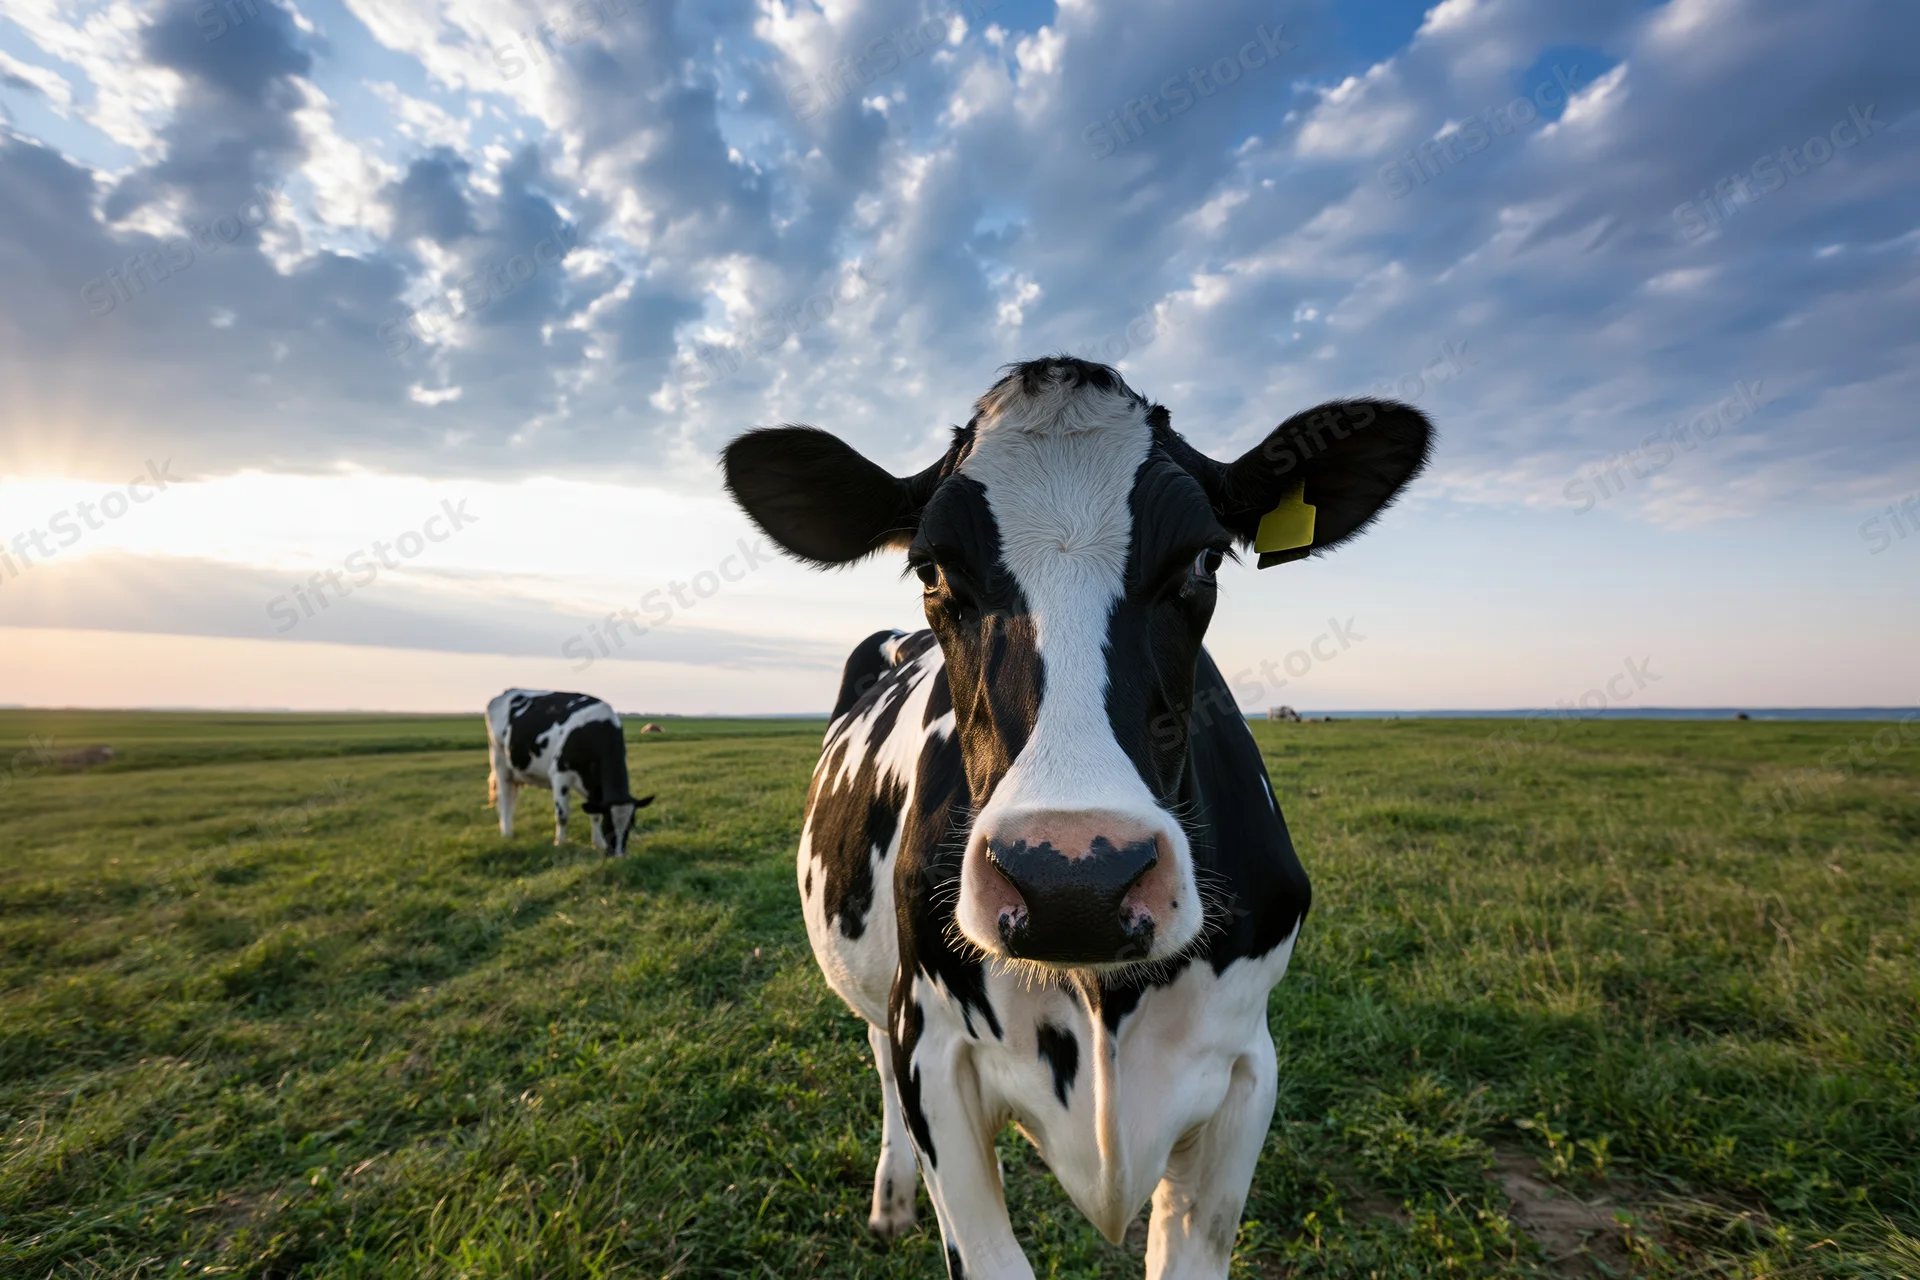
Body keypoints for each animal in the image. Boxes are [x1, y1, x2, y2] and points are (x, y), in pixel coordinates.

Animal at [485, 689, 653, 856]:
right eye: (608, 824)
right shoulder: (560, 774)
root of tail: (507, 692)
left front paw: (598, 843)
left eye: (631, 825)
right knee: (504, 798)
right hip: (499, 760)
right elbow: (562, 815)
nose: (617, 855)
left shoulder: (592, 783)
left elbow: (594, 814)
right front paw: (560, 843)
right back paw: (506, 834)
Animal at [721, 357, 1431, 1278]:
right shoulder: (933, 1052)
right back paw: (890, 1199)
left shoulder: (1247, 1068)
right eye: (931, 570)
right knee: (875, 1052)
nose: (1073, 879)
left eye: (1204, 558)